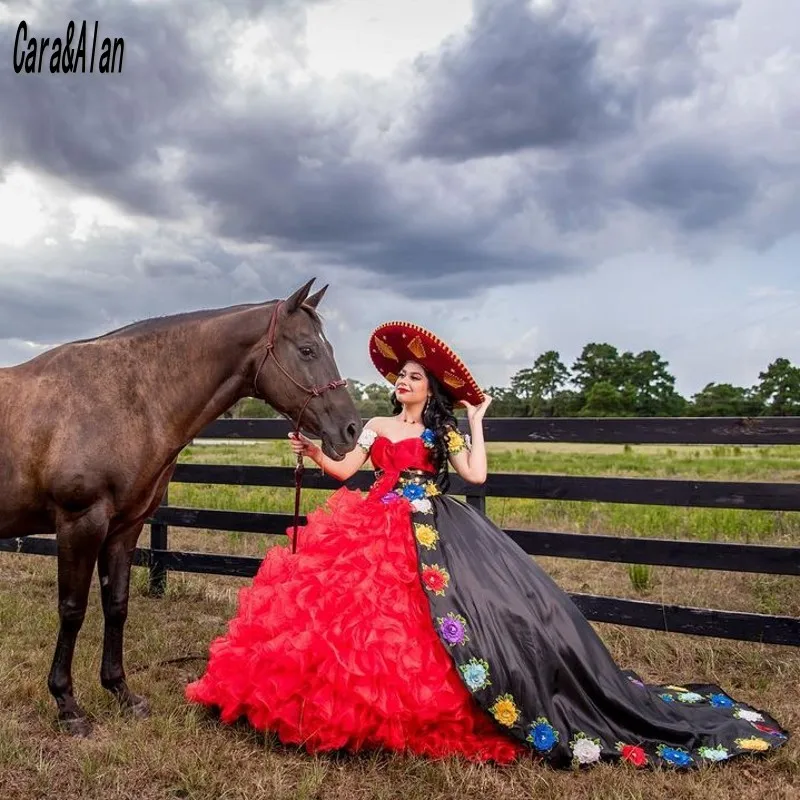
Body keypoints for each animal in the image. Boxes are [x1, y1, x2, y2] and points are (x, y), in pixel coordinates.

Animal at [0, 278, 360, 736]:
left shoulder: (125, 528)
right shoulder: (80, 523)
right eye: (308, 349)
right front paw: (68, 706)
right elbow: (73, 610)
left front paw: (121, 692)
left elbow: (116, 606)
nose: (350, 429)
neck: (125, 399)